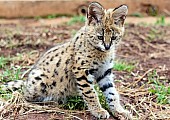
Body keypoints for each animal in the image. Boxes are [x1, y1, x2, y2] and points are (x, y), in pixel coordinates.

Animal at [3, 1, 132, 119]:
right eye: (100, 37)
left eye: (114, 37)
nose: (107, 46)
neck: (102, 53)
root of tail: (27, 82)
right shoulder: (81, 70)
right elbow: (90, 93)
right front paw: (98, 110)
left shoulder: (105, 72)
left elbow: (112, 93)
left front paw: (119, 111)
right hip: (39, 82)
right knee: (24, 94)